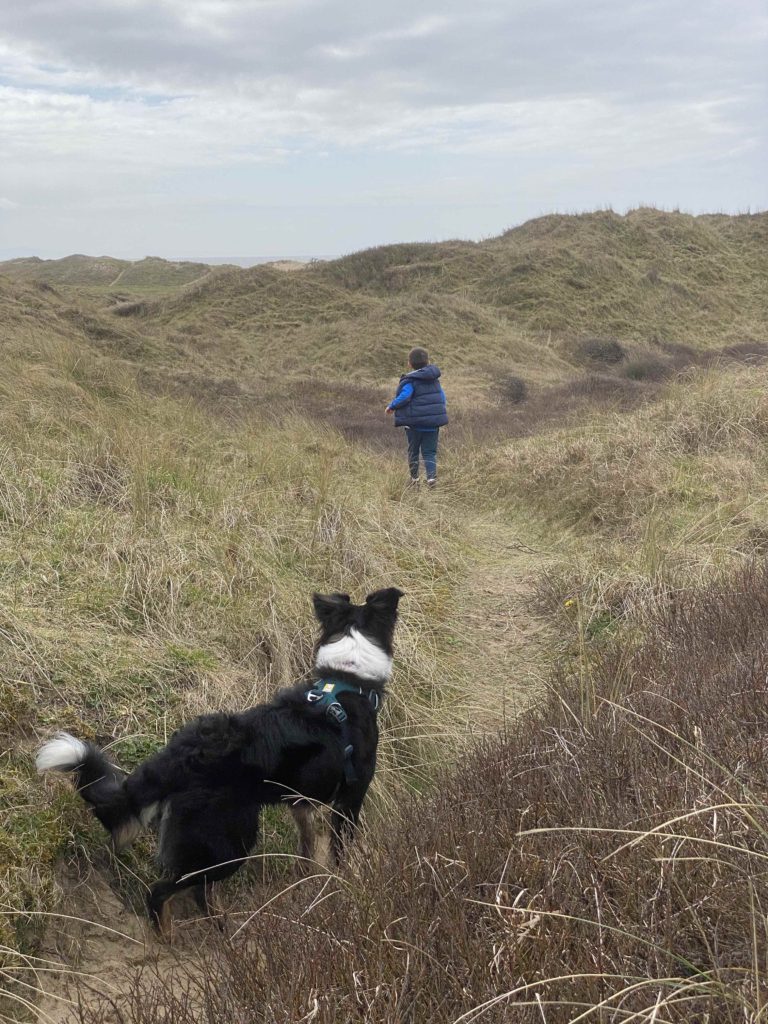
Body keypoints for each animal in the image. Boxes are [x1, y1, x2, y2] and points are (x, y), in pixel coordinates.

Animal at [37, 589, 403, 933]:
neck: (349, 680)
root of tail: (183, 755)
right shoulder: (350, 798)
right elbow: (339, 852)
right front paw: (343, 888)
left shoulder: (299, 802)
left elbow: (307, 846)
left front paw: (306, 879)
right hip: (230, 842)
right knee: (162, 892)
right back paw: (169, 939)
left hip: (216, 841)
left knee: (198, 890)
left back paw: (222, 929)